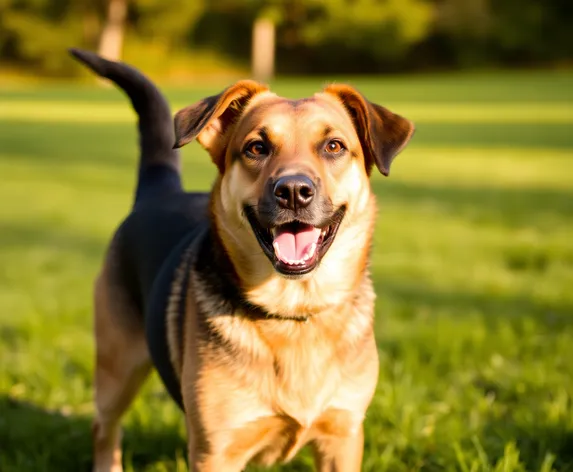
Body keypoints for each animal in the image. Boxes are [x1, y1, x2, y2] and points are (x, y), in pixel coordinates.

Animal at [69, 48, 414, 472]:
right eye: (256, 148)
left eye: (333, 146)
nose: (294, 191)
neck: (293, 312)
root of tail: (158, 191)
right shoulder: (217, 450)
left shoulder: (342, 437)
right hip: (117, 367)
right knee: (104, 428)